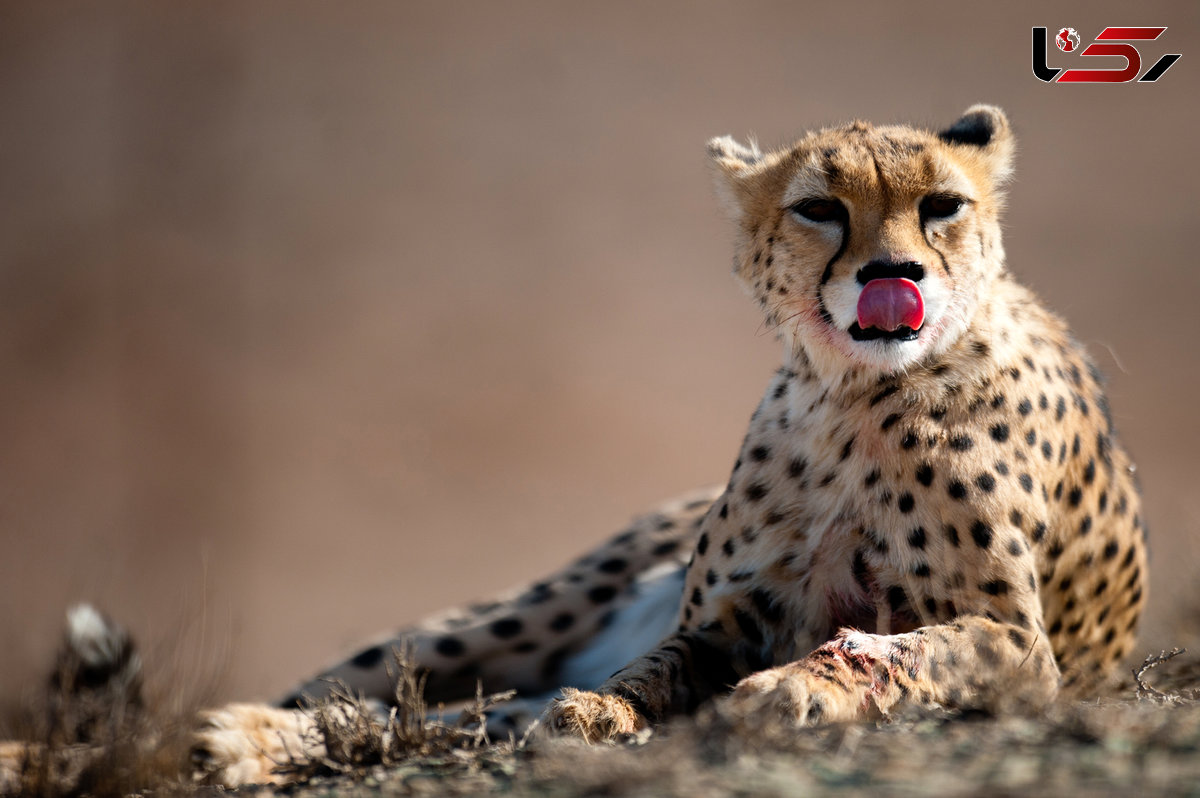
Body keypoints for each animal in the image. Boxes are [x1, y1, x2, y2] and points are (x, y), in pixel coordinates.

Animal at [7, 104, 1142, 782]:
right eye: (821, 208)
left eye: (942, 206)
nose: (890, 275)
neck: (849, 397)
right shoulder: (722, 617)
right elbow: (654, 668)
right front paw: (611, 711)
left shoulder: (1023, 647)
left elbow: (906, 647)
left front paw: (801, 688)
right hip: (510, 617)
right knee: (403, 697)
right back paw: (186, 738)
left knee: (438, 719)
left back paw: (238, 741)